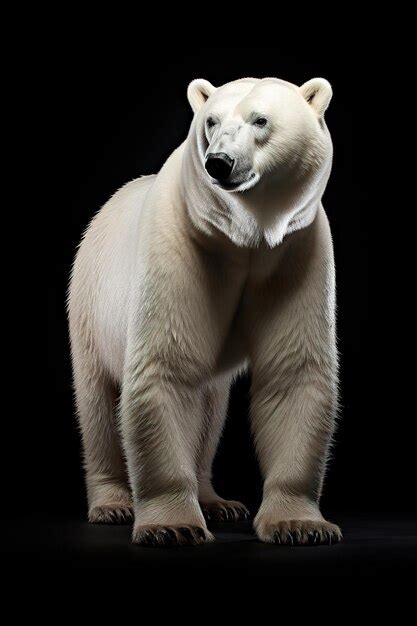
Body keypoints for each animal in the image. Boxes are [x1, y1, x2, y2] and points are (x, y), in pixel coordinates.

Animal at [68, 77, 342, 544]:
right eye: (211, 121)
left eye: (260, 119)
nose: (219, 163)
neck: (246, 238)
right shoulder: (180, 244)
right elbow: (164, 368)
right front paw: (172, 525)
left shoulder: (295, 252)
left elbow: (293, 373)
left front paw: (299, 524)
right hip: (90, 305)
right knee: (98, 400)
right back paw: (112, 503)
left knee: (210, 407)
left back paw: (217, 501)